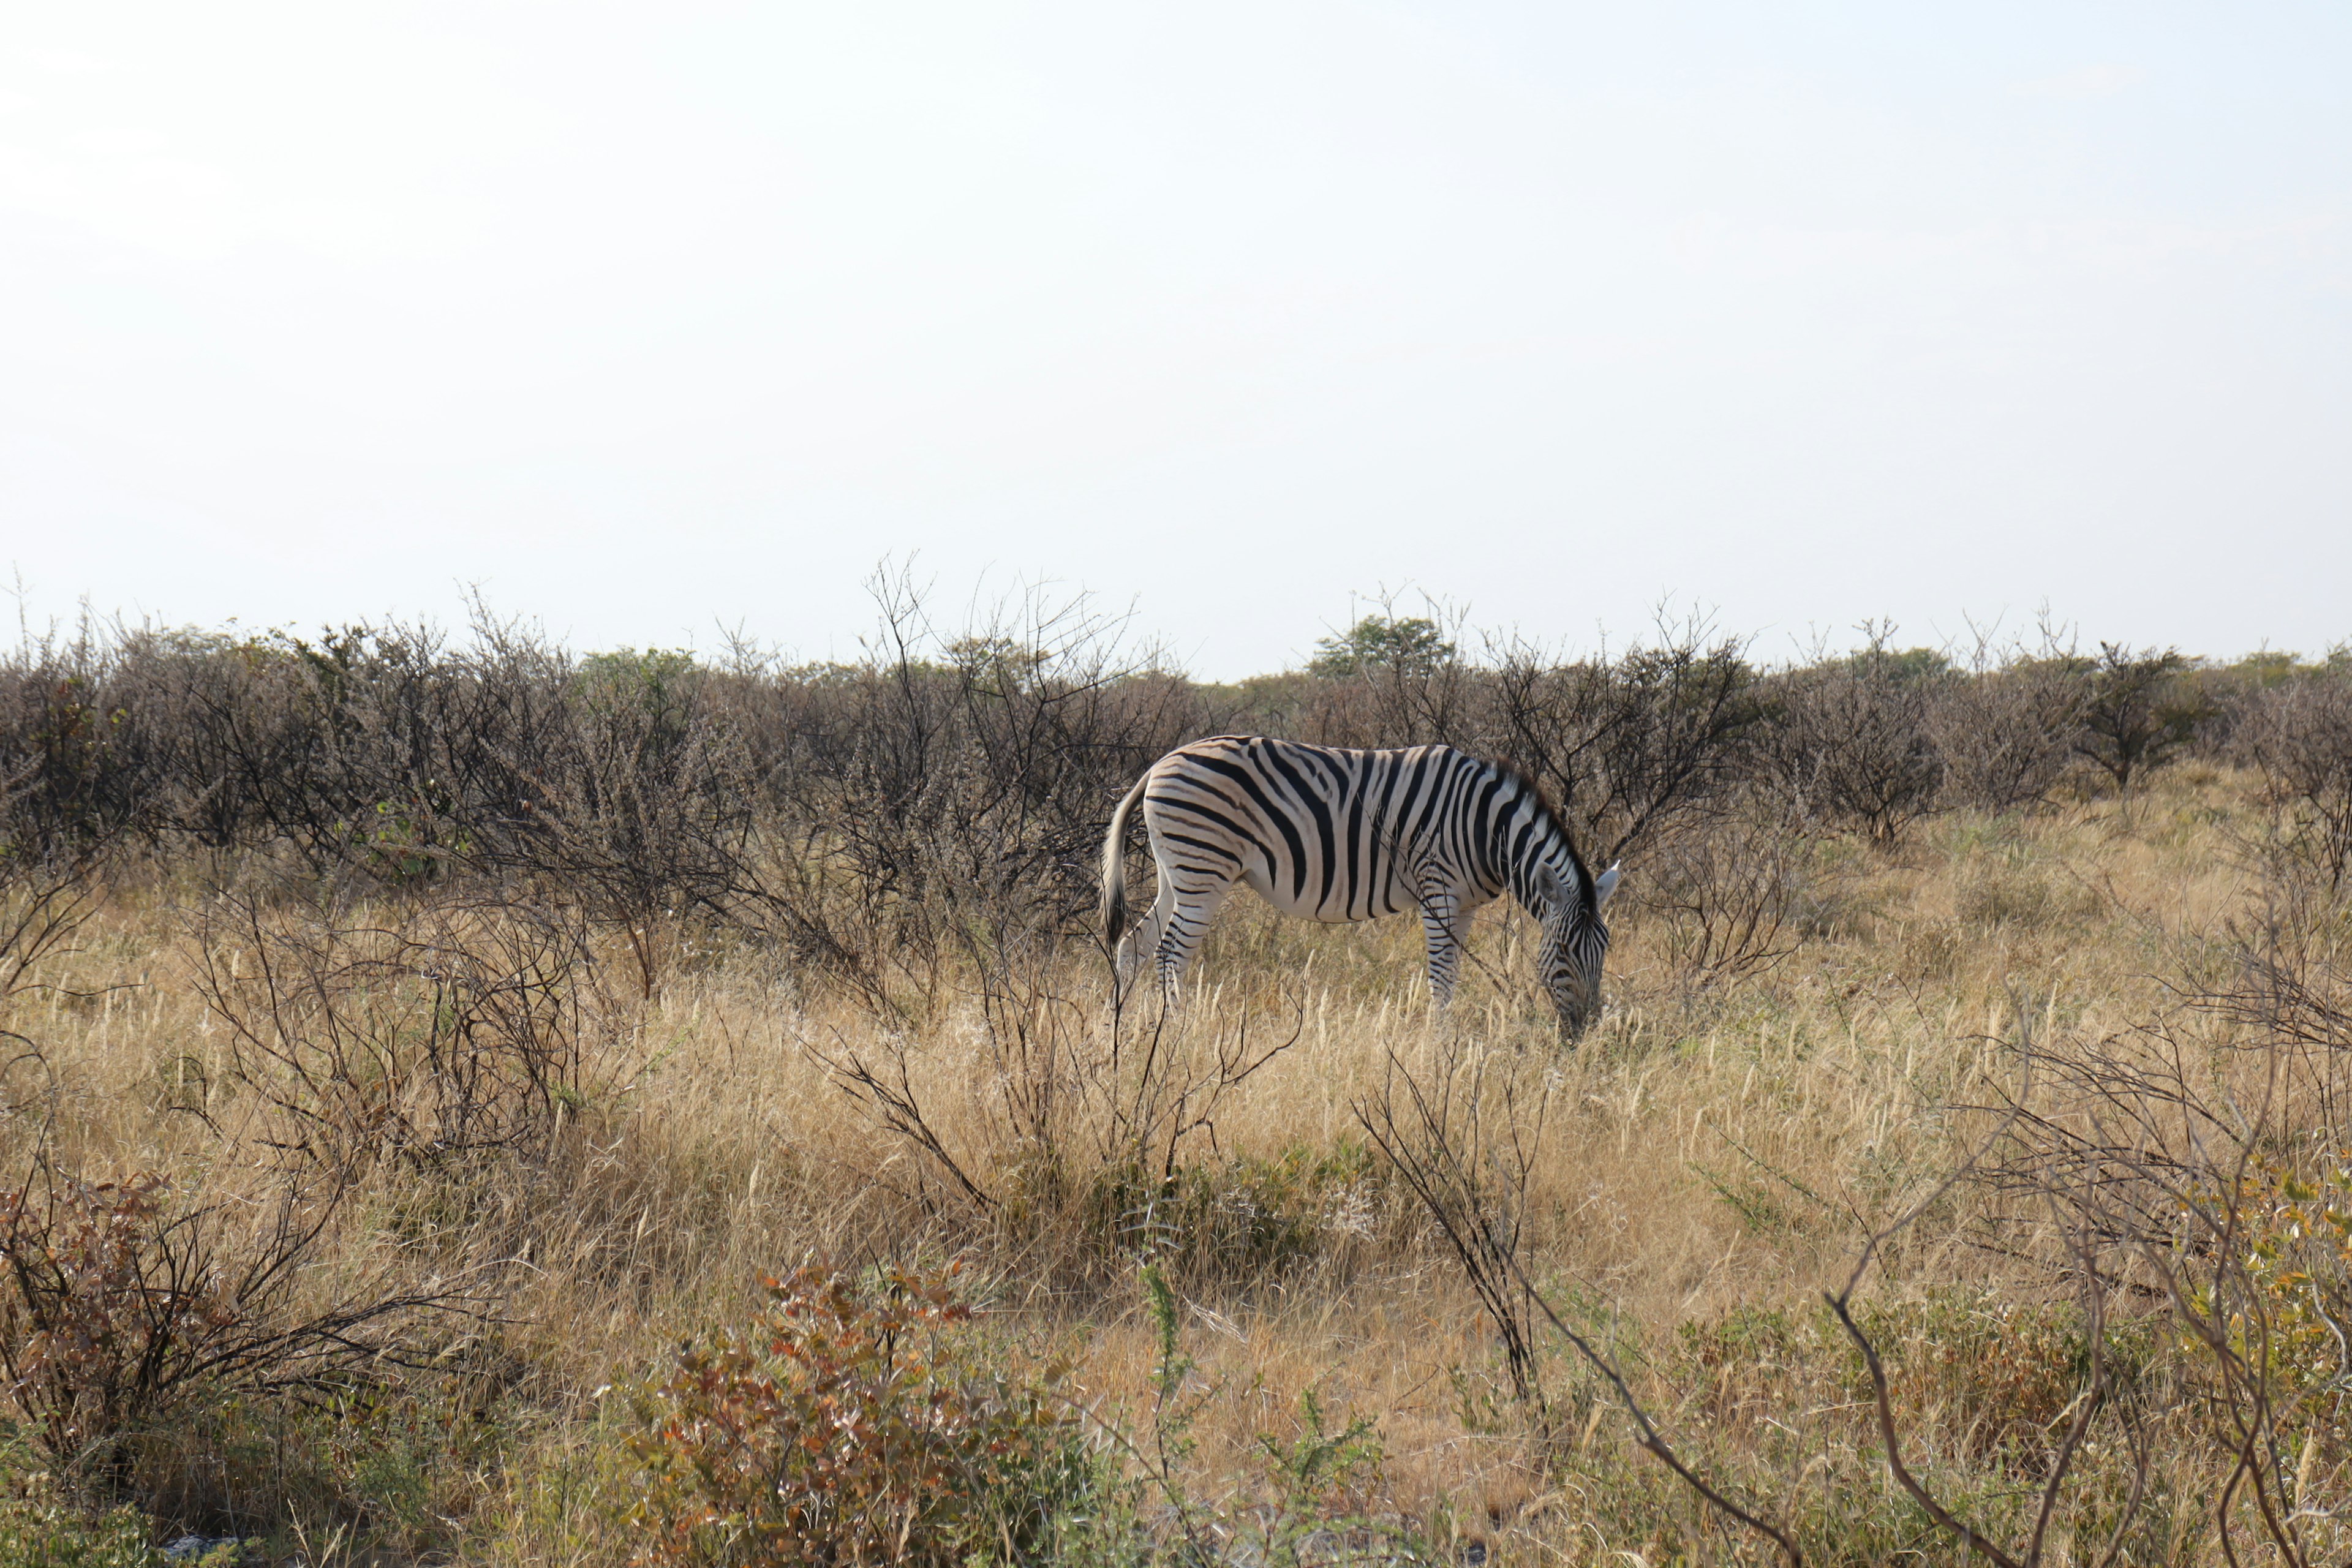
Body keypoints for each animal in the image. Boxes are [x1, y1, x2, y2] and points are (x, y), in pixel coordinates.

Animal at [1096, 738, 1618, 1034]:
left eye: (1604, 952)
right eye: (1564, 952)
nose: (1584, 1034)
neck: (1485, 830)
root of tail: (1161, 762)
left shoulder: (1465, 905)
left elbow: (1451, 976)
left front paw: (1446, 1042)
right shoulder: (1438, 891)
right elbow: (1441, 976)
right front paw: (1440, 1048)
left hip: (1178, 874)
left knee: (1133, 945)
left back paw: (1120, 1028)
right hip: (1204, 872)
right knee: (1169, 954)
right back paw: (1177, 1033)